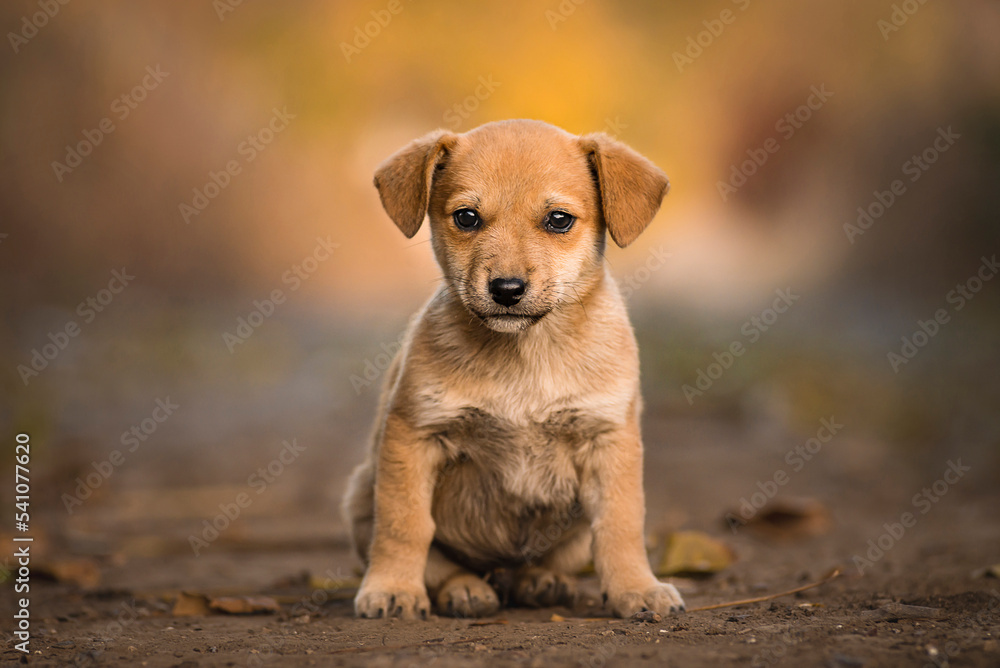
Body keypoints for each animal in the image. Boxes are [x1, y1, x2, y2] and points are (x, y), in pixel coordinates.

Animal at [340, 120, 684, 620]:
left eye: (558, 220)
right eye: (466, 217)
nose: (506, 289)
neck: (525, 355)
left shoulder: (609, 441)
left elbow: (620, 527)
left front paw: (638, 589)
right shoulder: (414, 434)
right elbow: (406, 525)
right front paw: (392, 588)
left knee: (551, 561)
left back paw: (542, 581)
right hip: (361, 494)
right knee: (441, 563)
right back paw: (465, 589)